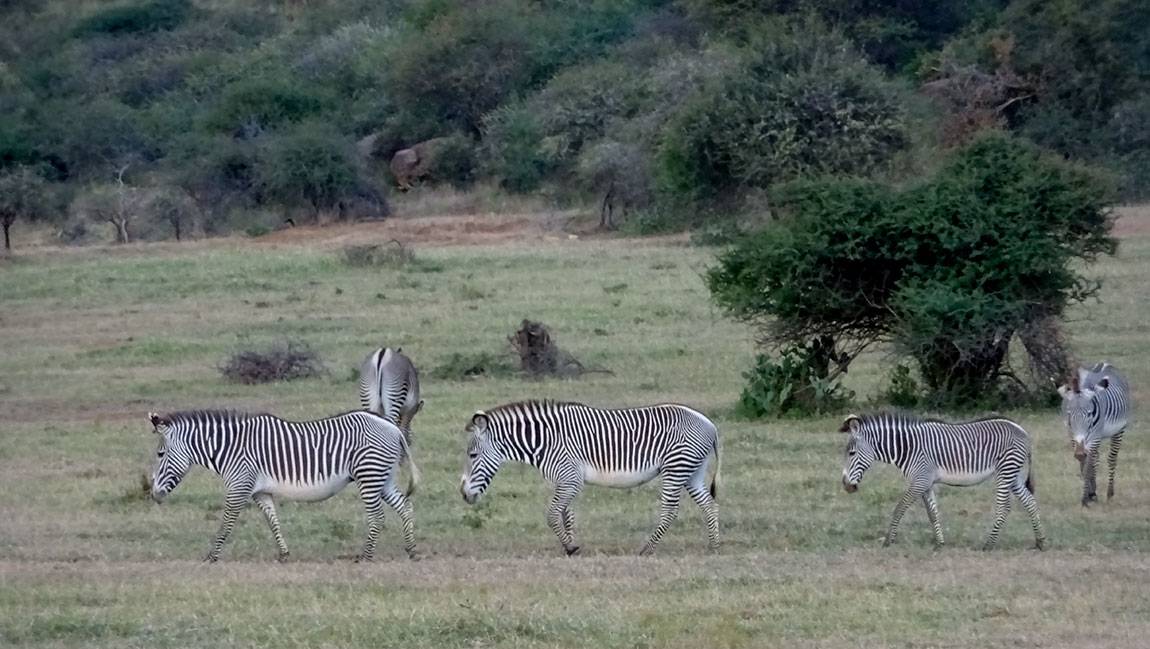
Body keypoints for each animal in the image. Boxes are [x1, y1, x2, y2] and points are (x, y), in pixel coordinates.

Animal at [148, 409, 420, 562]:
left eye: (160, 454)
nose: (154, 494)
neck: (230, 449)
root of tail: (392, 427)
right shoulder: (260, 492)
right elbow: (273, 521)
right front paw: (284, 554)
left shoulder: (239, 485)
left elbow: (226, 522)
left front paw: (212, 556)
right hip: (382, 478)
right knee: (405, 507)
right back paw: (412, 550)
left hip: (369, 475)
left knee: (378, 516)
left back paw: (366, 556)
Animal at [458, 400, 722, 556]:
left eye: (472, 455)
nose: (463, 494)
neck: (545, 441)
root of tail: (710, 425)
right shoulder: (566, 480)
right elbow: (567, 515)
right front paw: (571, 546)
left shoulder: (569, 477)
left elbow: (552, 515)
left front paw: (570, 546)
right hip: (692, 471)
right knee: (710, 505)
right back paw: (713, 545)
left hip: (676, 467)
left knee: (670, 511)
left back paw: (647, 548)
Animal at [840, 411, 1046, 551]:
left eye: (851, 453)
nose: (846, 485)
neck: (908, 448)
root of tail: (1022, 430)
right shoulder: (927, 483)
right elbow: (932, 513)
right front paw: (940, 543)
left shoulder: (920, 480)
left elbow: (899, 508)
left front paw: (888, 540)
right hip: (1014, 475)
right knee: (1030, 501)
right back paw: (1040, 542)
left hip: (1006, 470)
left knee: (1004, 507)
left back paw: (988, 544)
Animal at [1058, 362, 1131, 506]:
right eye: (1069, 415)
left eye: (1089, 413)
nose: (1080, 453)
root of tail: (1105, 363)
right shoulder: (1072, 436)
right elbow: (1085, 464)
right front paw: (1090, 494)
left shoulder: (1094, 437)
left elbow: (1088, 466)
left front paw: (1085, 499)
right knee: (1096, 460)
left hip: (1119, 430)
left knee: (1112, 459)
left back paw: (1110, 493)